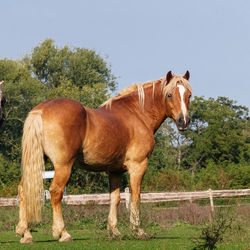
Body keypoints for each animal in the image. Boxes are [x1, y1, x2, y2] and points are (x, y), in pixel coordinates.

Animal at [16, 70, 191, 242]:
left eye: (189, 95)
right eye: (170, 95)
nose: (184, 121)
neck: (137, 114)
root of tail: (41, 110)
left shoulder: (115, 171)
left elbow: (115, 198)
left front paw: (114, 230)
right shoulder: (138, 166)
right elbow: (136, 196)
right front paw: (137, 230)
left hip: (36, 163)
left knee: (23, 190)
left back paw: (25, 233)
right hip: (63, 166)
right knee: (56, 192)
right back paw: (63, 233)